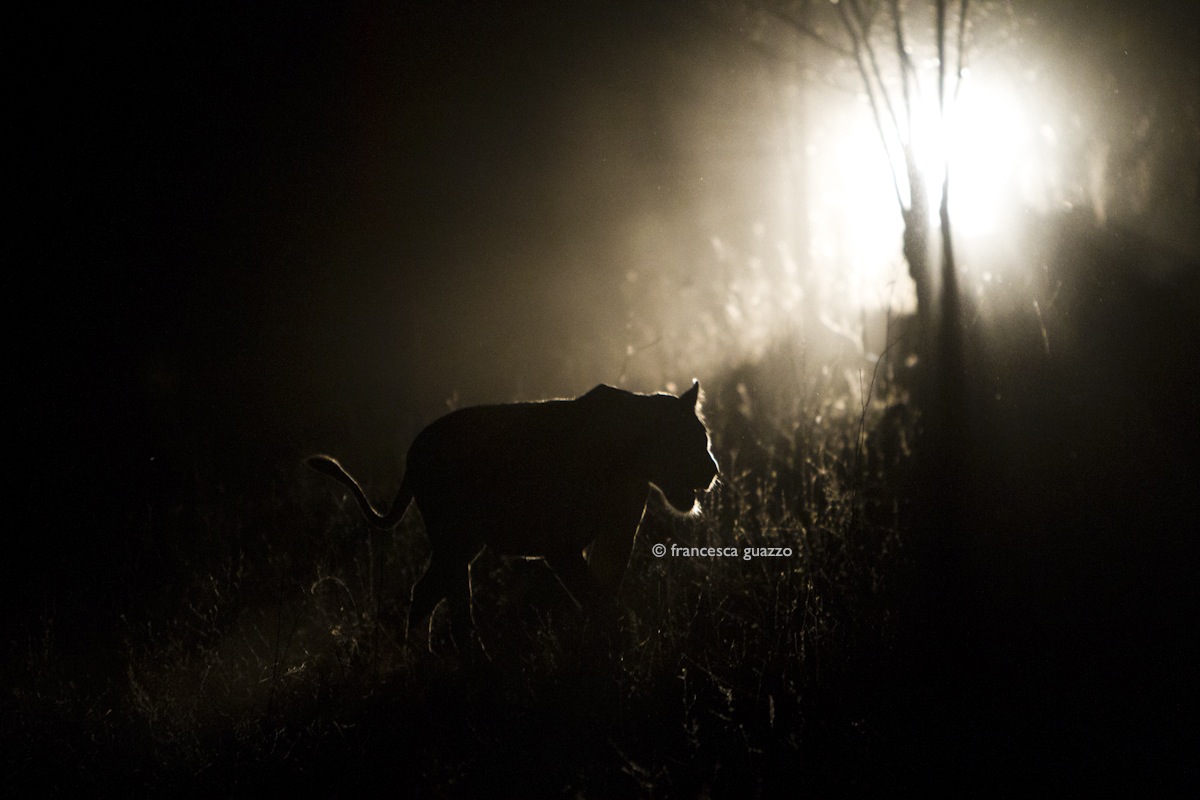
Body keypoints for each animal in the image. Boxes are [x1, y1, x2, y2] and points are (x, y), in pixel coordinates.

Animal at [306, 381, 719, 643]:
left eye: (705, 439)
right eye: (691, 441)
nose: (713, 471)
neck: (633, 459)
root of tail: (414, 449)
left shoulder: (617, 535)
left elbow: (603, 590)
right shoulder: (561, 544)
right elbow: (594, 597)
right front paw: (610, 643)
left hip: (463, 544)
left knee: (429, 594)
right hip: (453, 538)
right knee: (445, 605)